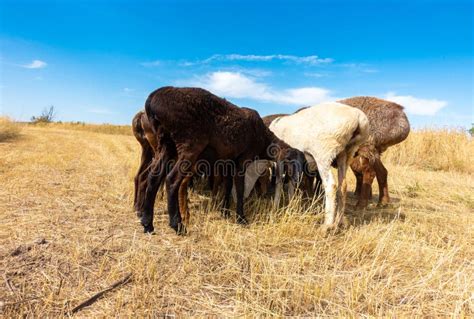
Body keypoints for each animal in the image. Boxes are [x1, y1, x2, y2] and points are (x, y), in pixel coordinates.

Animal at [268, 102, 368, 230]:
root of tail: (358, 116)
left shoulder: (279, 159)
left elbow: (279, 182)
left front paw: (275, 207)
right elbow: (290, 182)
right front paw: (291, 205)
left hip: (324, 153)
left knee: (331, 185)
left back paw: (327, 225)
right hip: (346, 153)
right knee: (343, 186)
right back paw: (339, 222)